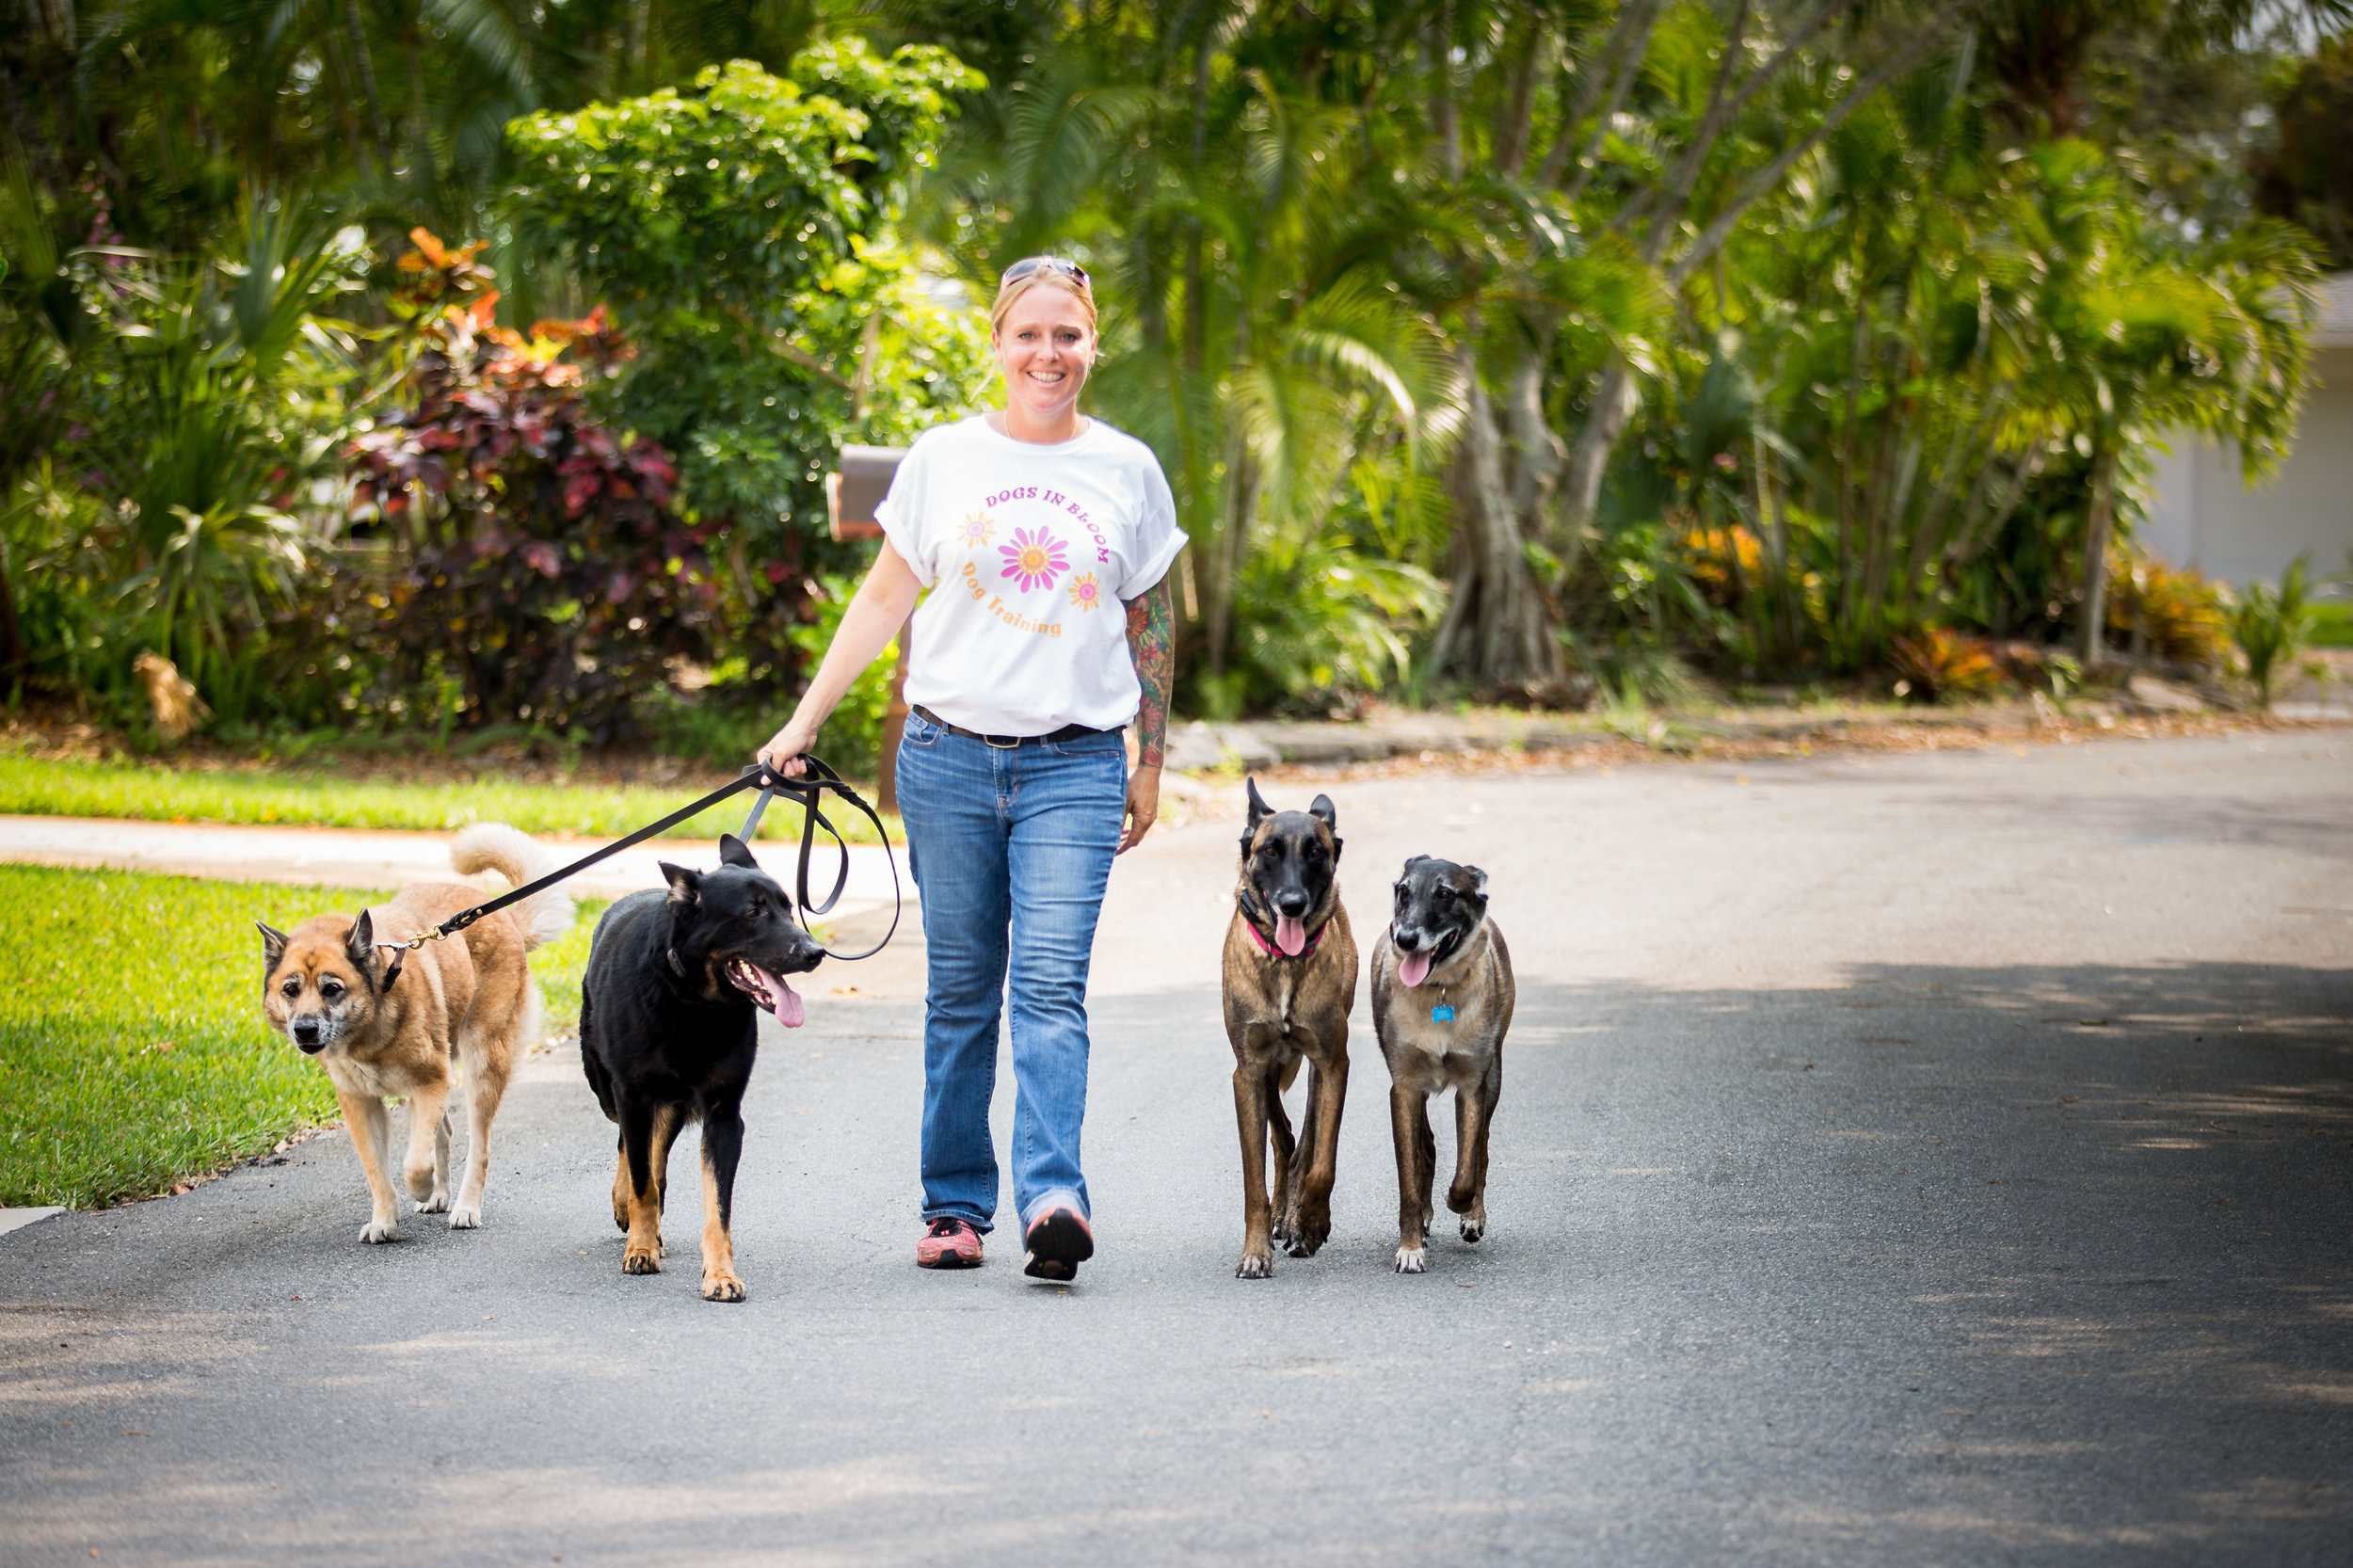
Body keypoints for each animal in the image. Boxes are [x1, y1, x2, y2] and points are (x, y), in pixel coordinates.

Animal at [1374, 856, 1515, 1271]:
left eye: (1445, 894)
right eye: (1403, 892)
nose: (1406, 939)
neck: (1439, 989)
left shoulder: (1472, 1085)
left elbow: (1469, 1163)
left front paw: (1461, 1204)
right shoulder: (1403, 1088)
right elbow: (1409, 1176)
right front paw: (1410, 1247)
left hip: (1494, 1077)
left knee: (1481, 1145)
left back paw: (1472, 1215)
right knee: (1427, 1147)